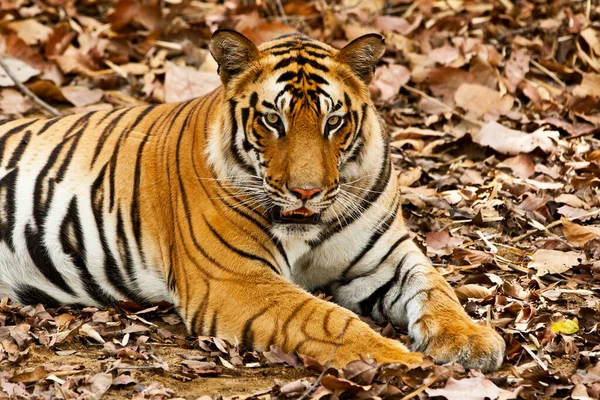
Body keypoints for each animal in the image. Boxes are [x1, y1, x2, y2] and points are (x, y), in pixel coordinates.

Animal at [0, 30, 506, 372]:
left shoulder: (386, 258)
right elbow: (326, 320)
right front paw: (405, 362)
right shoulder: (238, 279)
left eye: (334, 122)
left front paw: (471, 340)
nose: (307, 192)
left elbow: (435, 288)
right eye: (272, 120)